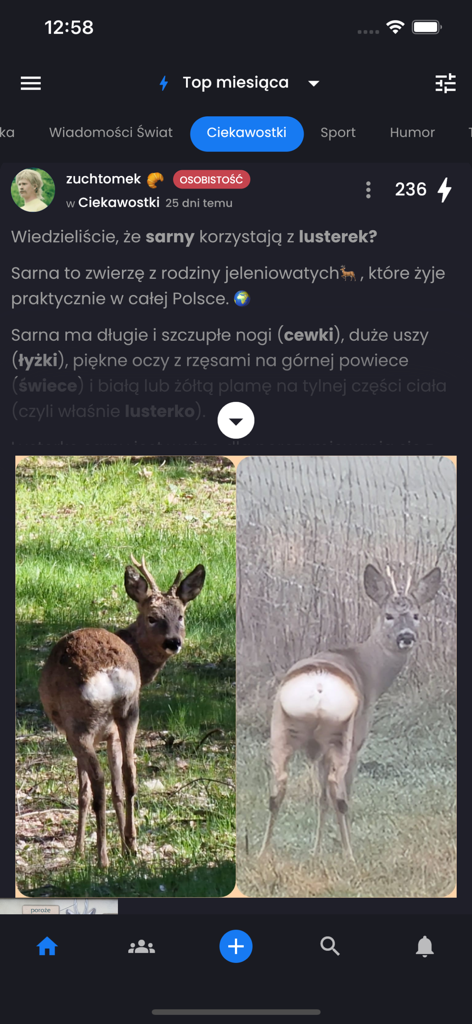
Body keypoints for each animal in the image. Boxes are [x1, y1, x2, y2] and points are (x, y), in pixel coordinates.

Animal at [39, 555, 205, 868]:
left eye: (181, 615)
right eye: (153, 617)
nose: (173, 642)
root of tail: (109, 672)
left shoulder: (78, 731)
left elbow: (83, 790)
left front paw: (78, 849)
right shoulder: (112, 733)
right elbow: (119, 787)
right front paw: (124, 844)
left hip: (79, 725)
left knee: (97, 782)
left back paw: (101, 858)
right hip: (130, 711)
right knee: (130, 773)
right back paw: (131, 845)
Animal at [259, 564, 441, 861]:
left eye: (416, 615)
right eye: (388, 615)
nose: (406, 637)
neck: (370, 672)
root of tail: (319, 686)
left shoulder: (317, 749)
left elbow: (320, 798)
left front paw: (316, 850)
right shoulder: (358, 740)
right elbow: (339, 793)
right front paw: (332, 847)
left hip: (280, 728)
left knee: (279, 787)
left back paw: (263, 852)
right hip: (342, 732)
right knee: (339, 791)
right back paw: (350, 854)